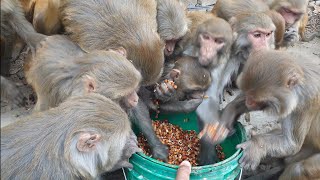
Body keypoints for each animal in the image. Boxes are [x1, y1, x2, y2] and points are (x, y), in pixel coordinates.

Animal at [209, 50, 318, 180]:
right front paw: (228, 115)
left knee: (298, 169)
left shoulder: (305, 102)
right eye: (249, 96)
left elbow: (291, 143)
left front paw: (255, 146)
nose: (248, 102)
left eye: (254, 99)